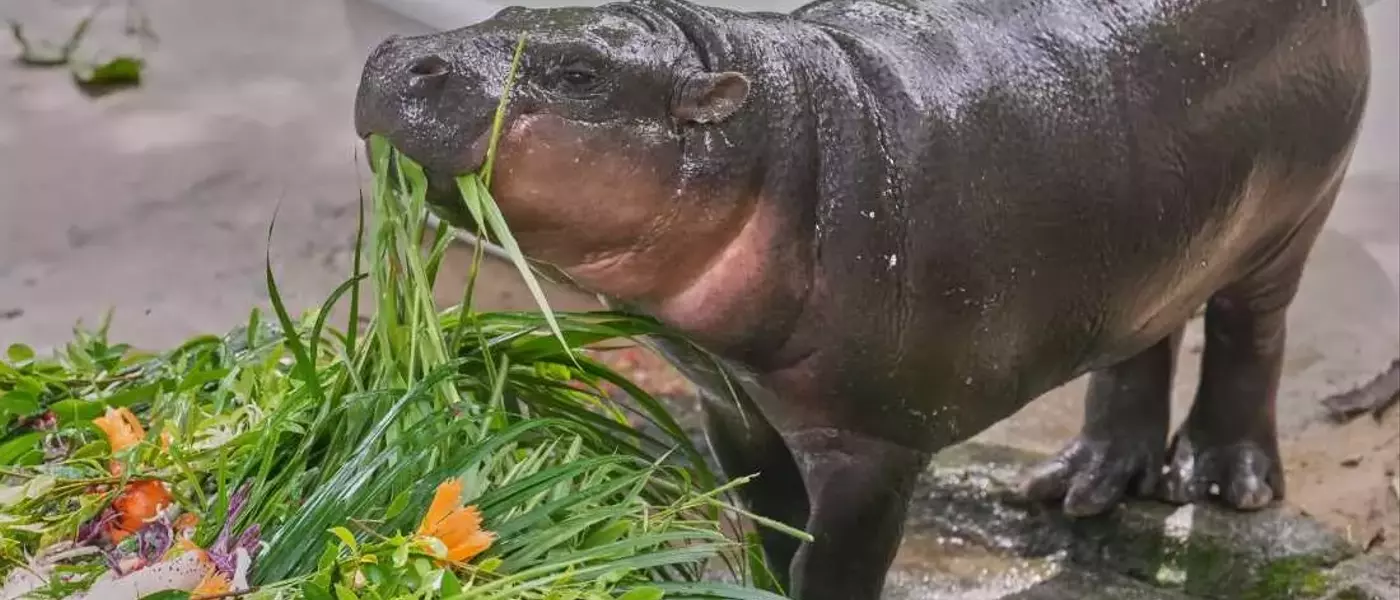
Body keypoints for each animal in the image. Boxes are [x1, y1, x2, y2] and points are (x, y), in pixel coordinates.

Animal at [352, 0, 1373, 596]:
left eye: (580, 74)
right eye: (504, 7)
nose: (399, 54)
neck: (774, 134)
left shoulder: (873, 441)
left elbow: (834, 557)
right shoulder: (731, 403)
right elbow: (770, 523)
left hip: (1294, 217)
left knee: (1249, 333)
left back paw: (1223, 482)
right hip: (1154, 248)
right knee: (1142, 342)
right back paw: (1080, 488)